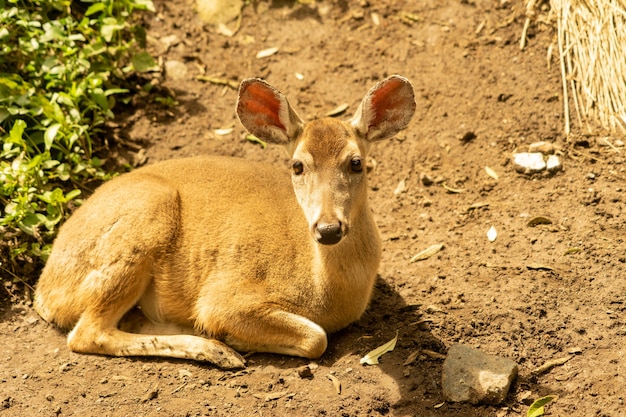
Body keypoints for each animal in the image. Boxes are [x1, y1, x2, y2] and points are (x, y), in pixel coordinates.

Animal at [34, 75, 414, 368]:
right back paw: (216, 348)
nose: (328, 228)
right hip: (144, 218)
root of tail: (45, 289)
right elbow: (316, 338)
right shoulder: (225, 295)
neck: (326, 291)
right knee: (87, 332)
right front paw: (234, 338)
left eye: (356, 162)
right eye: (297, 165)